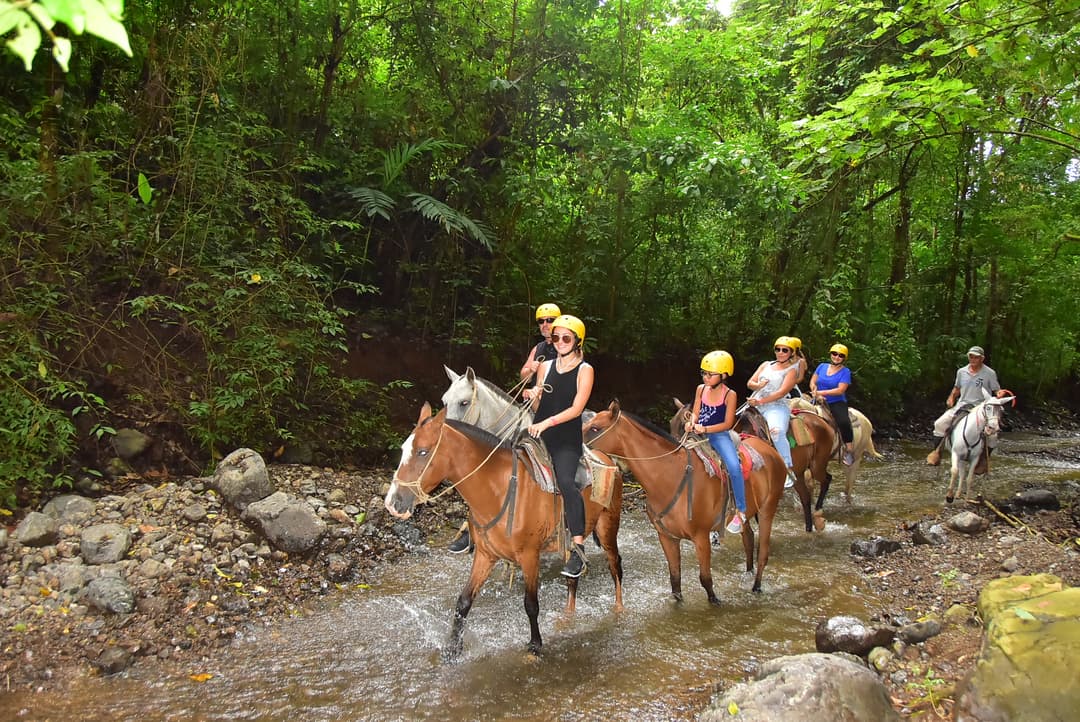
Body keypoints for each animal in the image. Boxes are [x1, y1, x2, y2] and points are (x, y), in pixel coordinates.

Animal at [382, 403, 626, 656]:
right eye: (403, 449)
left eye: (423, 452)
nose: (392, 503)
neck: (499, 490)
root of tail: (608, 459)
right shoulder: (485, 555)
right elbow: (463, 601)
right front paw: (453, 649)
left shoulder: (529, 556)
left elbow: (531, 604)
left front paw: (535, 646)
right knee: (573, 577)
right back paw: (568, 616)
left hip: (608, 527)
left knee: (615, 564)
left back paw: (619, 609)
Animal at [583, 399, 786, 595]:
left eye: (595, 428)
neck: (671, 476)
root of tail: (768, 447)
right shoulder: (667, 538)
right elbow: (675, 581)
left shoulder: (701, 537)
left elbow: (706, 580)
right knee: (749, 538)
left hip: (768, 510)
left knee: (763, 552)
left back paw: (757, 586)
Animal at [665, 399, 833, 528]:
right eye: (671, 423)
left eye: (684, 425)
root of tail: (821, 420)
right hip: (799, 473)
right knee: (805, 497)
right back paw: (809, 528)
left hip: (817, 465)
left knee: (827, 479)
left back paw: (818, 513)